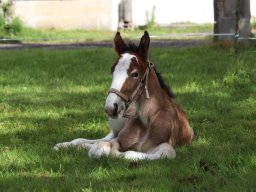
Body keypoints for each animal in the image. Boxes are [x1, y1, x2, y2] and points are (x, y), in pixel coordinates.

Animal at [54, 31, 194, 160]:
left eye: (135, 74)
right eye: (112, 70)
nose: (111, 108)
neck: (147, 120)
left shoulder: (162, 146)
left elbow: (161, 151)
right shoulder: (119, 139)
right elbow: (99, 147)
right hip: (115, 128)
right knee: (91, 140)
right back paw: (62, 145)